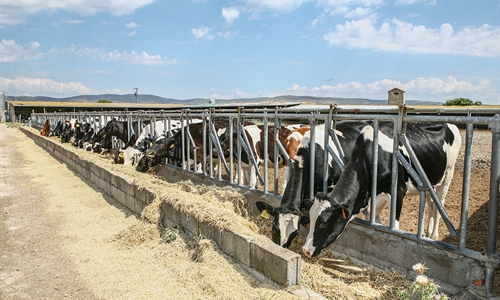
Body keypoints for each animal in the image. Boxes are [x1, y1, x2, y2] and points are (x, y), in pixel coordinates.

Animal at [300, 122, 460, 258]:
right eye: (310, 219)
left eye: (323, 223)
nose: (306, 251)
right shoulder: (375, 199)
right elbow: (376, 221)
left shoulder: (398, 192)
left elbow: (394, 226)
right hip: (431, 183)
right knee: (431, 204)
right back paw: (426, 233)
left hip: (447, 176)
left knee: (439, 206)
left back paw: (433, 236)